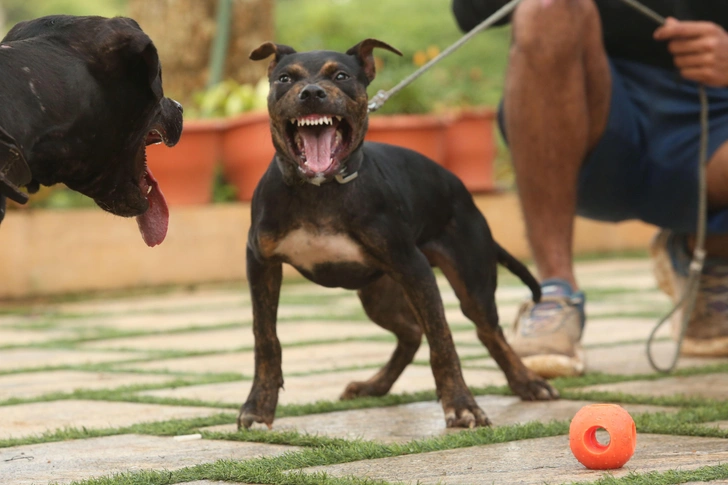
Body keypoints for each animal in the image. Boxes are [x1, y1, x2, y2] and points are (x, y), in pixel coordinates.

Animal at [242, 40, 560, 428]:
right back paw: (374, 385)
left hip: (470, 282)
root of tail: (463, 192)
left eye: (341, 76)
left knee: (489, 332)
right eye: (285, 78)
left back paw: (528, 382)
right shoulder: (261, 263)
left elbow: (443, 340)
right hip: (378, 294)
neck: (320, 190)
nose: (312, 93)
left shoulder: (415, 268)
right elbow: (265, 338)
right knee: (410, 332)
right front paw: (258, 405)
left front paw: (461, 406)